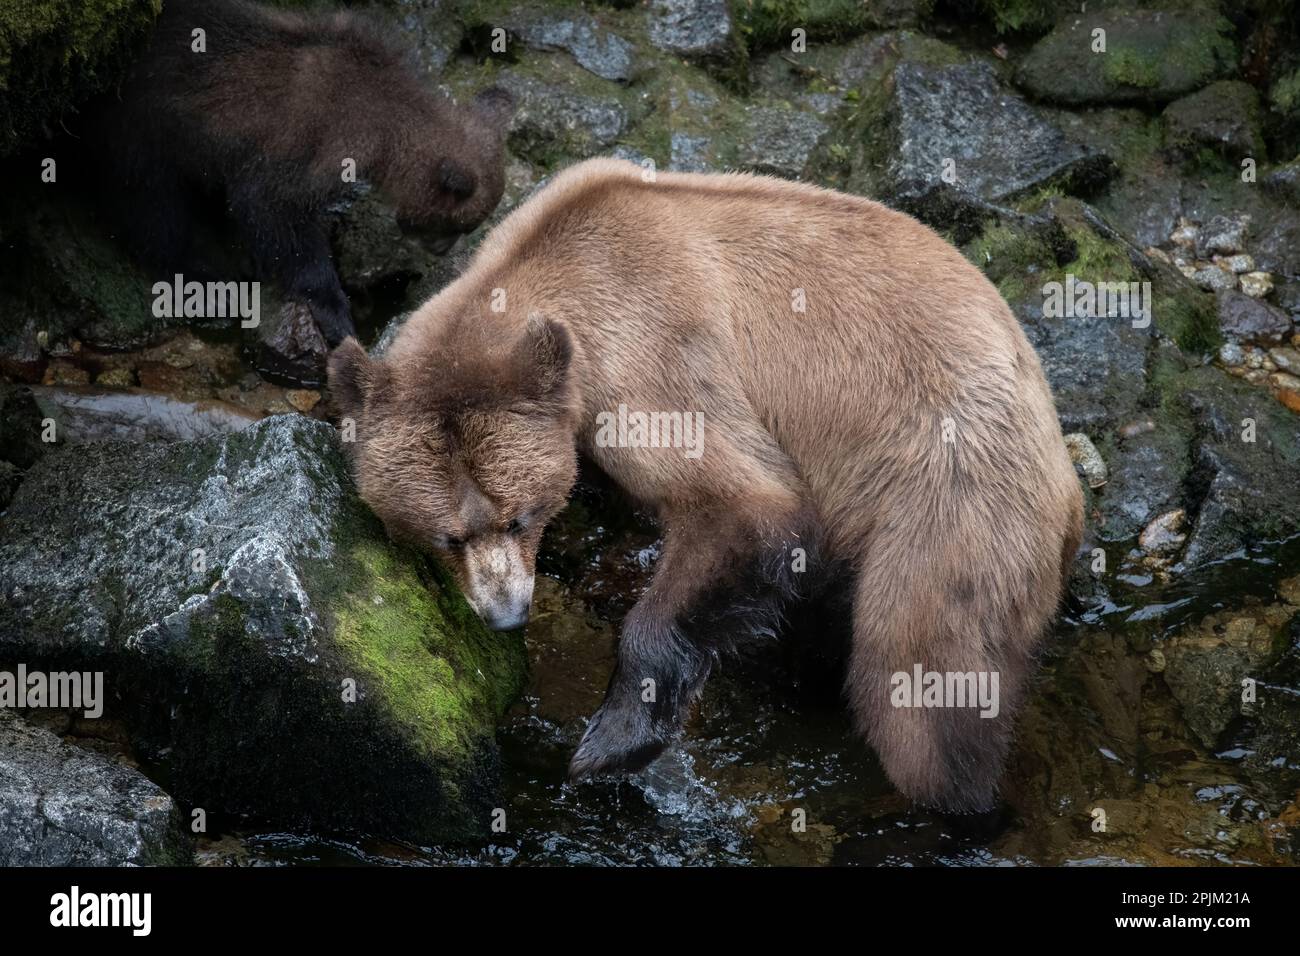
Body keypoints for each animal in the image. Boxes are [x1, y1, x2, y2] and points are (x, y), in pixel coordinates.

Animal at [80, 0, 513, 348]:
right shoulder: (312, 144)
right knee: (152, 207)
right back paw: (205, 273)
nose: (443, 249)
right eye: (459, 223)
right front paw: (335, 311)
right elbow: (275, 213)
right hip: (145, 130)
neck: (386, 131)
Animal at [327, 157, 1085, 812]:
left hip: (949, 494)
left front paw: (608, 744)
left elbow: (745, 505)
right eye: (445, 536)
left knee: (921, 681)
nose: (506, 612)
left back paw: (955, 802)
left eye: (519, 516)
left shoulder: (650, 354)